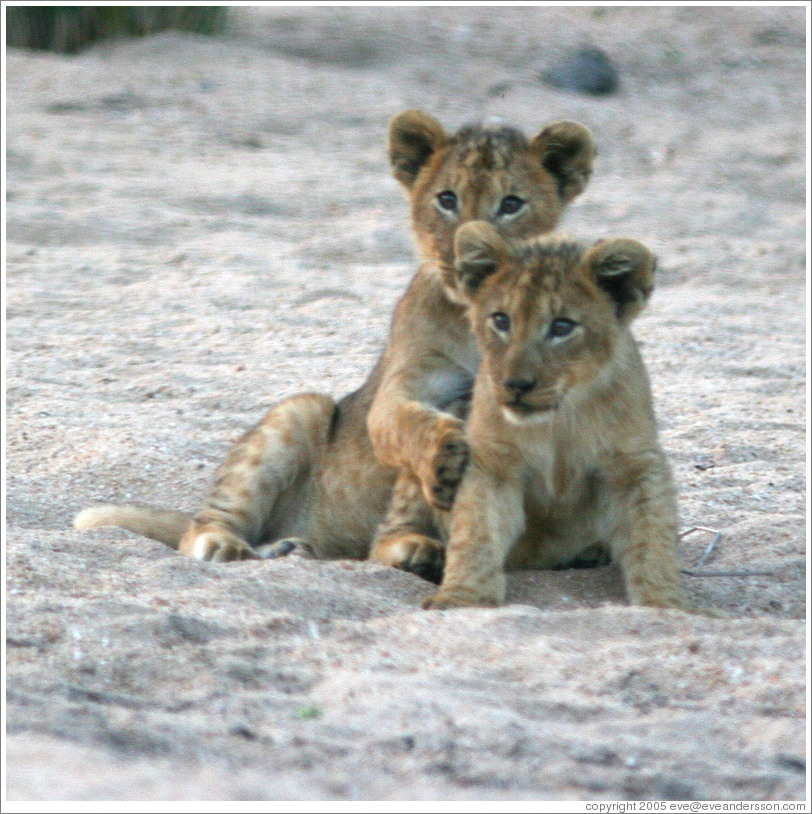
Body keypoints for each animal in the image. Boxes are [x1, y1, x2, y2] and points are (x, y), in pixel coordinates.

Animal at [75, 110, 595, 571]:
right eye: (447, 199)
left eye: (511, 204)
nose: (462, 252)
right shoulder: (399, 393)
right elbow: (413, 424)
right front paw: (446, 456)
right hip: (303, 410)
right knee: (204, 527)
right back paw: (231, 545)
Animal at [379, 221, 691, 610]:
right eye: (501, 320)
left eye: (562, 326)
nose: (517, 384)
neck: (559, 419)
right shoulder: (491, 461)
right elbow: (476, 532)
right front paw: (462, 598)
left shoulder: (635, 462)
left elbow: (653, 539)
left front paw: (666, 605)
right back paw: (417, 552)